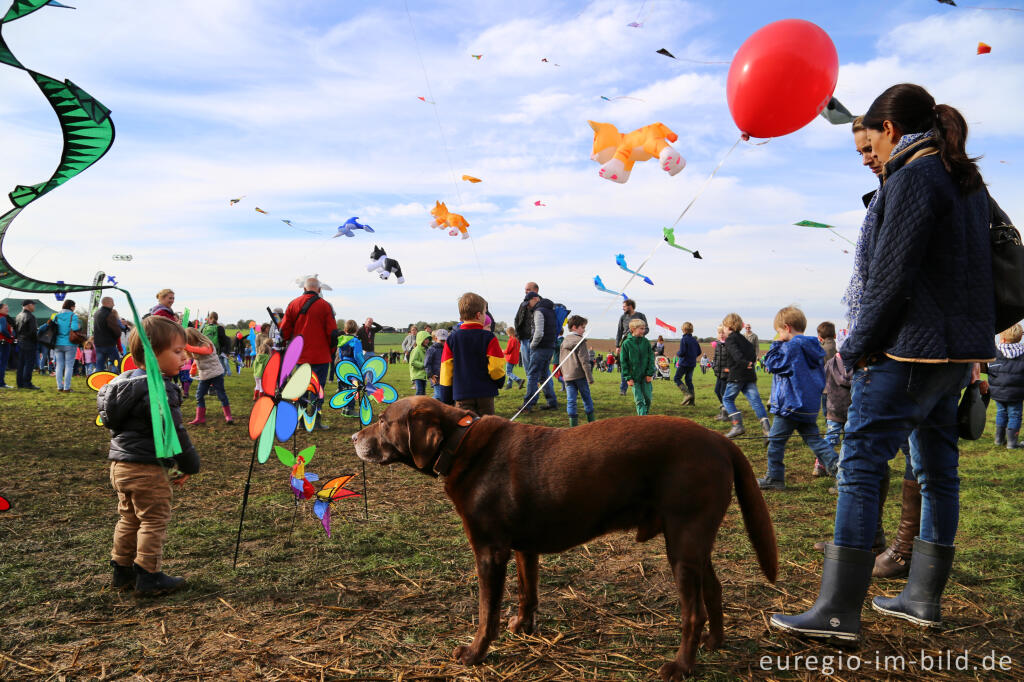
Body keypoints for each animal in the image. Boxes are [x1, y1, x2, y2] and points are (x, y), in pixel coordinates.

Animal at [352, 395, 774, 675]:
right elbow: (528, 592)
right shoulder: (523, 548)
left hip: (683, 540)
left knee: (693, 610)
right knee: (714, 590)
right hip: (694, 539)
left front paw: (475, 653)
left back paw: (681, 666)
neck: (460, 444)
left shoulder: (489, 551)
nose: (355, 437)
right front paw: (523, 627)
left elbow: (486, 611)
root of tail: (720, 440)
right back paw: (714, 644)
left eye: (384, 420)